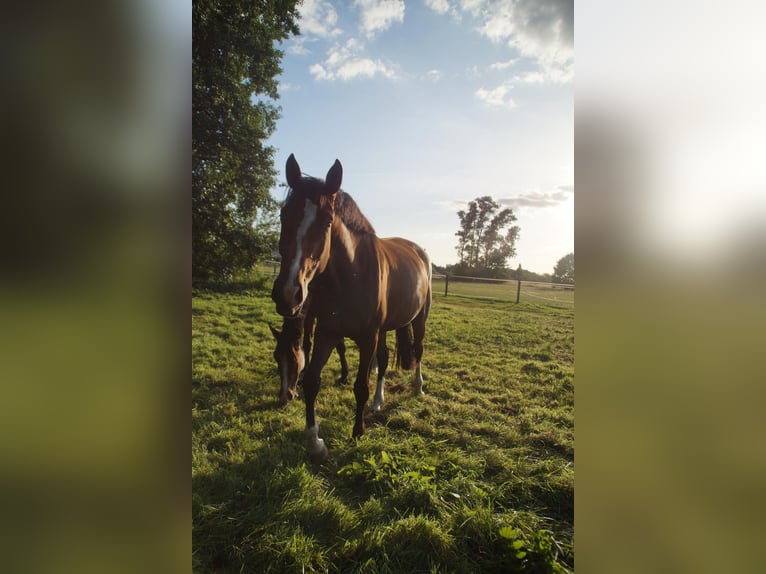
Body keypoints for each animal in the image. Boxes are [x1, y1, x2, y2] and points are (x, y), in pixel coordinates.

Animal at [271, 154, 432, 461]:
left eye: (327, 221)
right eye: (284, 215)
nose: (288, 294)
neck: (350, 276)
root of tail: (420, 252)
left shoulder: (368, 336)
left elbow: (360, 385)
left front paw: (358, 432)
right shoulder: (327, 332)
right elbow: (312, 381)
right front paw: (315, 442)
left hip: (419, 319)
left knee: (417, 350)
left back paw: (418, 388)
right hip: (386, 328)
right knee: (384, 359)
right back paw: (378, 402)